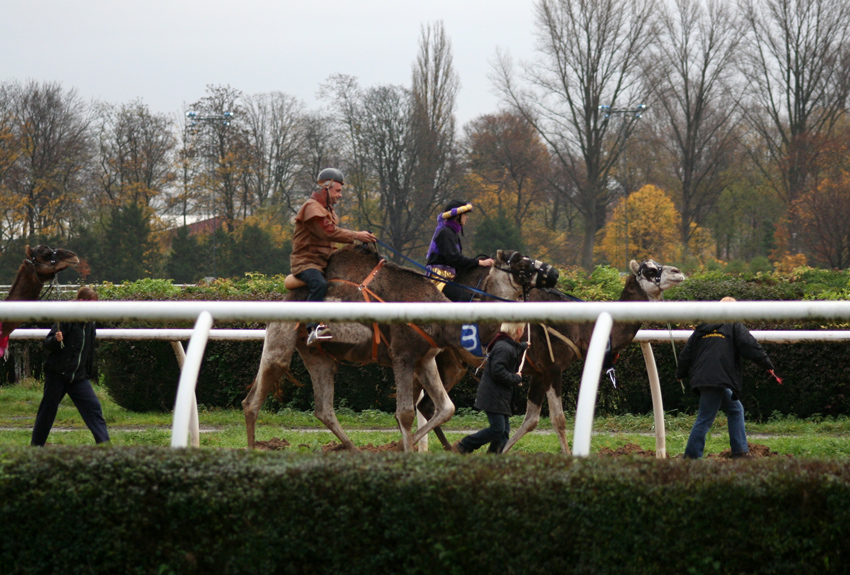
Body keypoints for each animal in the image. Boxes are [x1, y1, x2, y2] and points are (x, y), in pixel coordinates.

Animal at [240, 245, 544, 452]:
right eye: (522, 263)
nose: (550, 274)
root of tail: (285, 297)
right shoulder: (403, 356)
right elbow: (406, 413)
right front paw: (405, 452)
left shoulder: (425, 359)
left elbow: (445, 407)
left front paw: (402, 448)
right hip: (281, 339)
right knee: (253, 399)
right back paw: (253, 451)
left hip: (318, 355)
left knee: (323, 409)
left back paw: (353, 450)